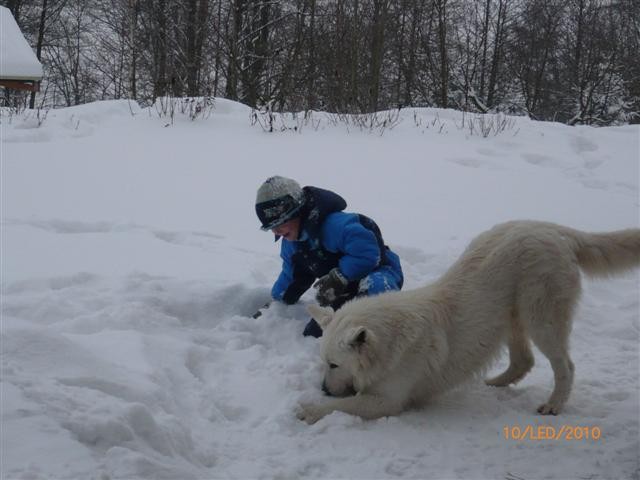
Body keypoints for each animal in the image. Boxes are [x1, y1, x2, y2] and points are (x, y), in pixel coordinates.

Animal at [300, 221, 640, 424]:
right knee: (524, 360)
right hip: (510, 316)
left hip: (541, 318)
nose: (324, 389)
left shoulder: (387, 401)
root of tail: (553, 230)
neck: (390, 342)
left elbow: (348, 406)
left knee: (565, 366)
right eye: (324, 362)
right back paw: (496, 383)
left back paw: (554, 405)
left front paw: (311, 409)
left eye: (334, 364)